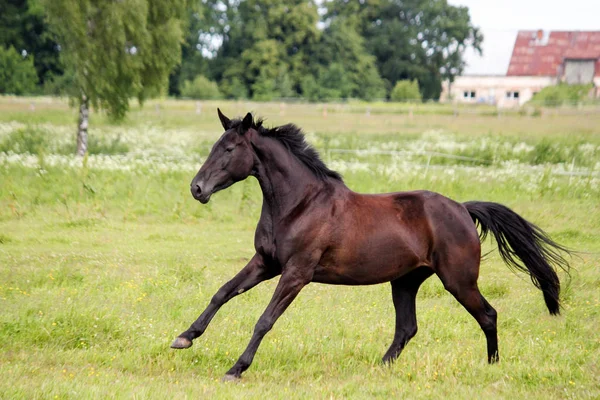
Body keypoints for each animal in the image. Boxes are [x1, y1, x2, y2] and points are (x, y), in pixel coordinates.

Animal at [170, 109, 572, 382]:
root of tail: (462, 208)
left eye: (229, 149)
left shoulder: (296, 272)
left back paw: (492, 367)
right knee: (407, 328)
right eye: (215, 146)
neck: (299, 203)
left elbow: (265, 320)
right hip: (406, 281)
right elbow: (222, 293)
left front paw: (235, 369)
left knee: (488, 315)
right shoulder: (265, 263)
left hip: (458, 280)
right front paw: (184, 338)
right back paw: (379, 368)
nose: (197, 188)